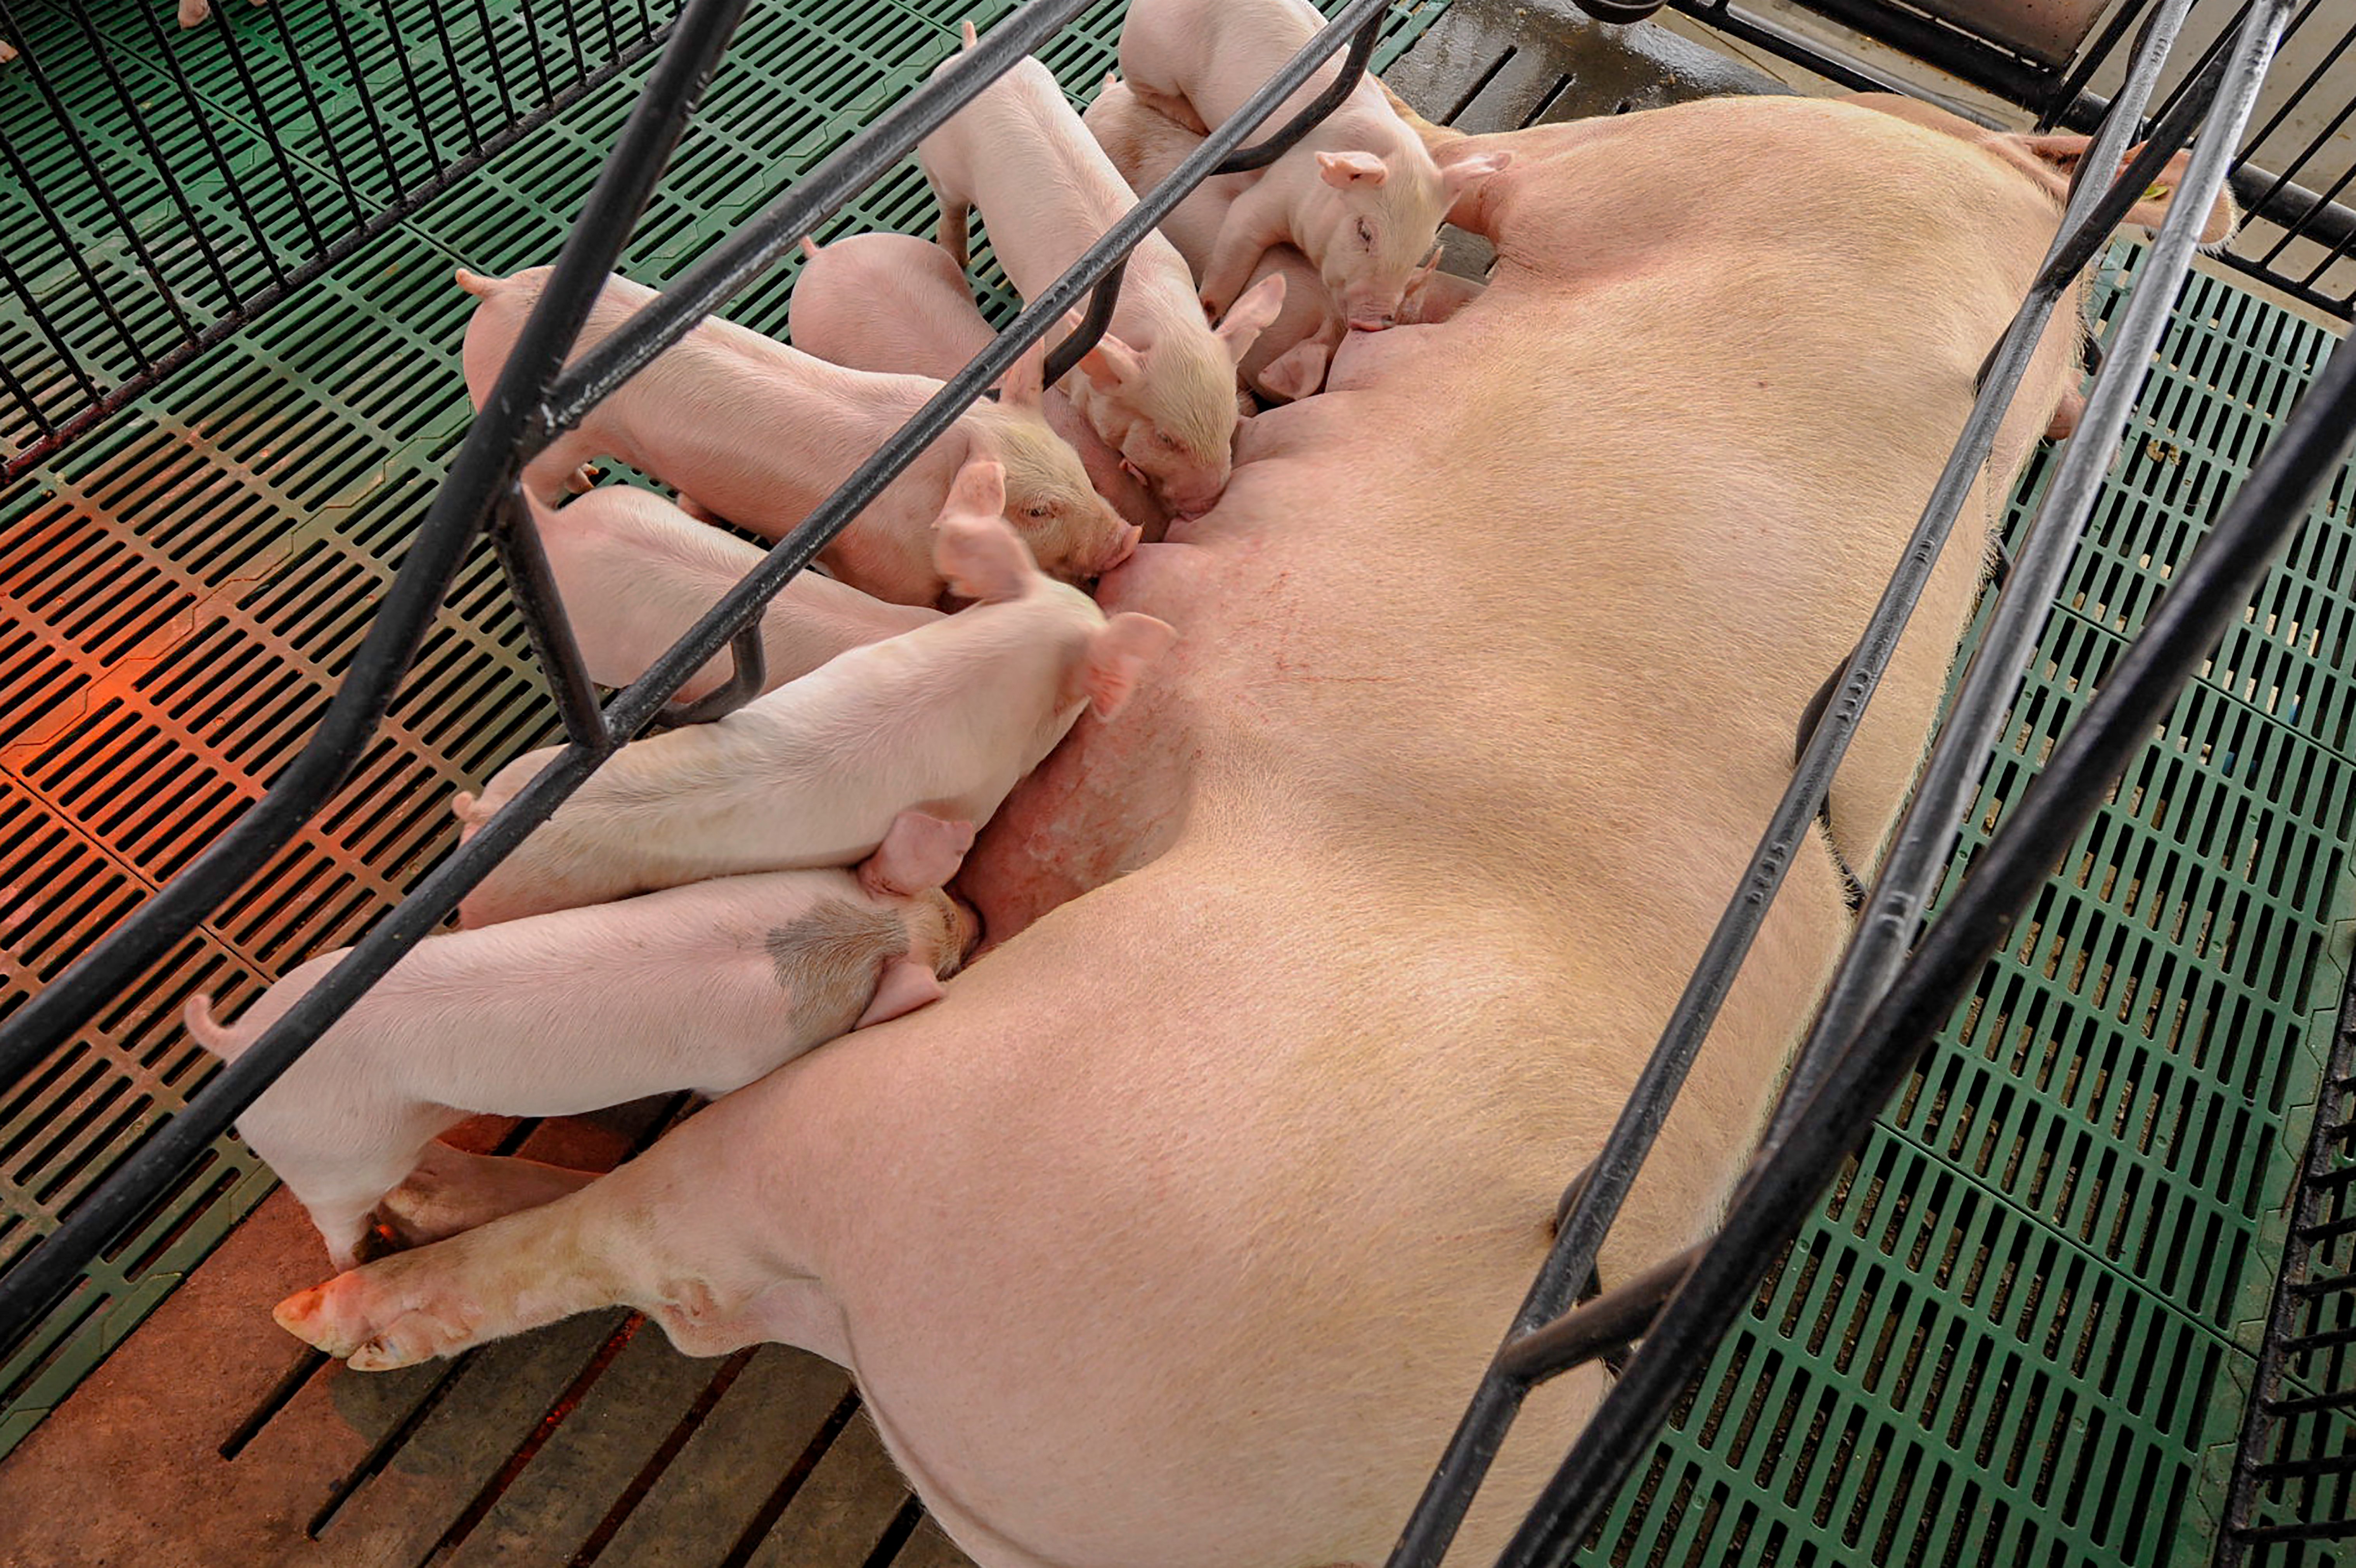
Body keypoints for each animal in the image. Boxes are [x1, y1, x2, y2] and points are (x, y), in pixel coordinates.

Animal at [187, 868, 975, 1269]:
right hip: (329, 1159)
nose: (972, 916)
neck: (848, 938)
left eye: (939, 899)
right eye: (942, 963)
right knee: (335, 1228)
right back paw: (360, 1263)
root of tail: (237, 1039)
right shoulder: (740, 1065)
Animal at [918, 22, 1287, 518]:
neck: (1160, 318)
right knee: (951, 206)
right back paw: (957, 259)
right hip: (941, 165)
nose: (1207, 503)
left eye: (1228, 422)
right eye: (1166, 438)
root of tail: (971, 51)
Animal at [1118, 0, 1510, 330]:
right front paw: (1208, 314)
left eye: (1422, 247)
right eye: (1365, 232)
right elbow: (1233, 249)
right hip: (1149, 62)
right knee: (1147, 92)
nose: (1375, 321)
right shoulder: (1271, 194)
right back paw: (1197, 126)